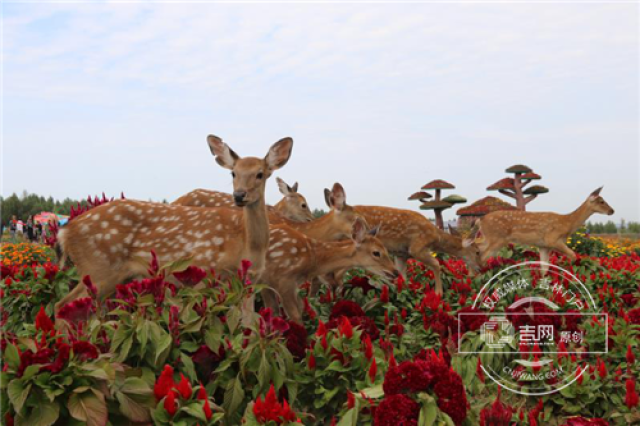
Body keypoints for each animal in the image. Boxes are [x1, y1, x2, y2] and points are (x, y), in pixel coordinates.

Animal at [53, 134, 294, 312]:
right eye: (233, 173)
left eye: (260, 174)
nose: (239, 195)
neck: (247, 243)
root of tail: (66, 232)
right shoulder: (207, 270)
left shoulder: (250, 281)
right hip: (98, 268)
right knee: (62, 304)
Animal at [262, 218, 398, 322]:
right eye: (376, 252)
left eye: (386, 249)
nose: (395, 272)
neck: (311, 258)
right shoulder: (283, 280)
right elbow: (295, 316)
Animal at [470, 187, 616, 270]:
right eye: (601, 201)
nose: (612, 210)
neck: (567, 223)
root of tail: (480, 219)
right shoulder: (553, 239)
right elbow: (573, 255)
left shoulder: (544, 245)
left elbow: (544, 267)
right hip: (497, 238)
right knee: (482, 256)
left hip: (489, 237)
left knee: (477, 248)